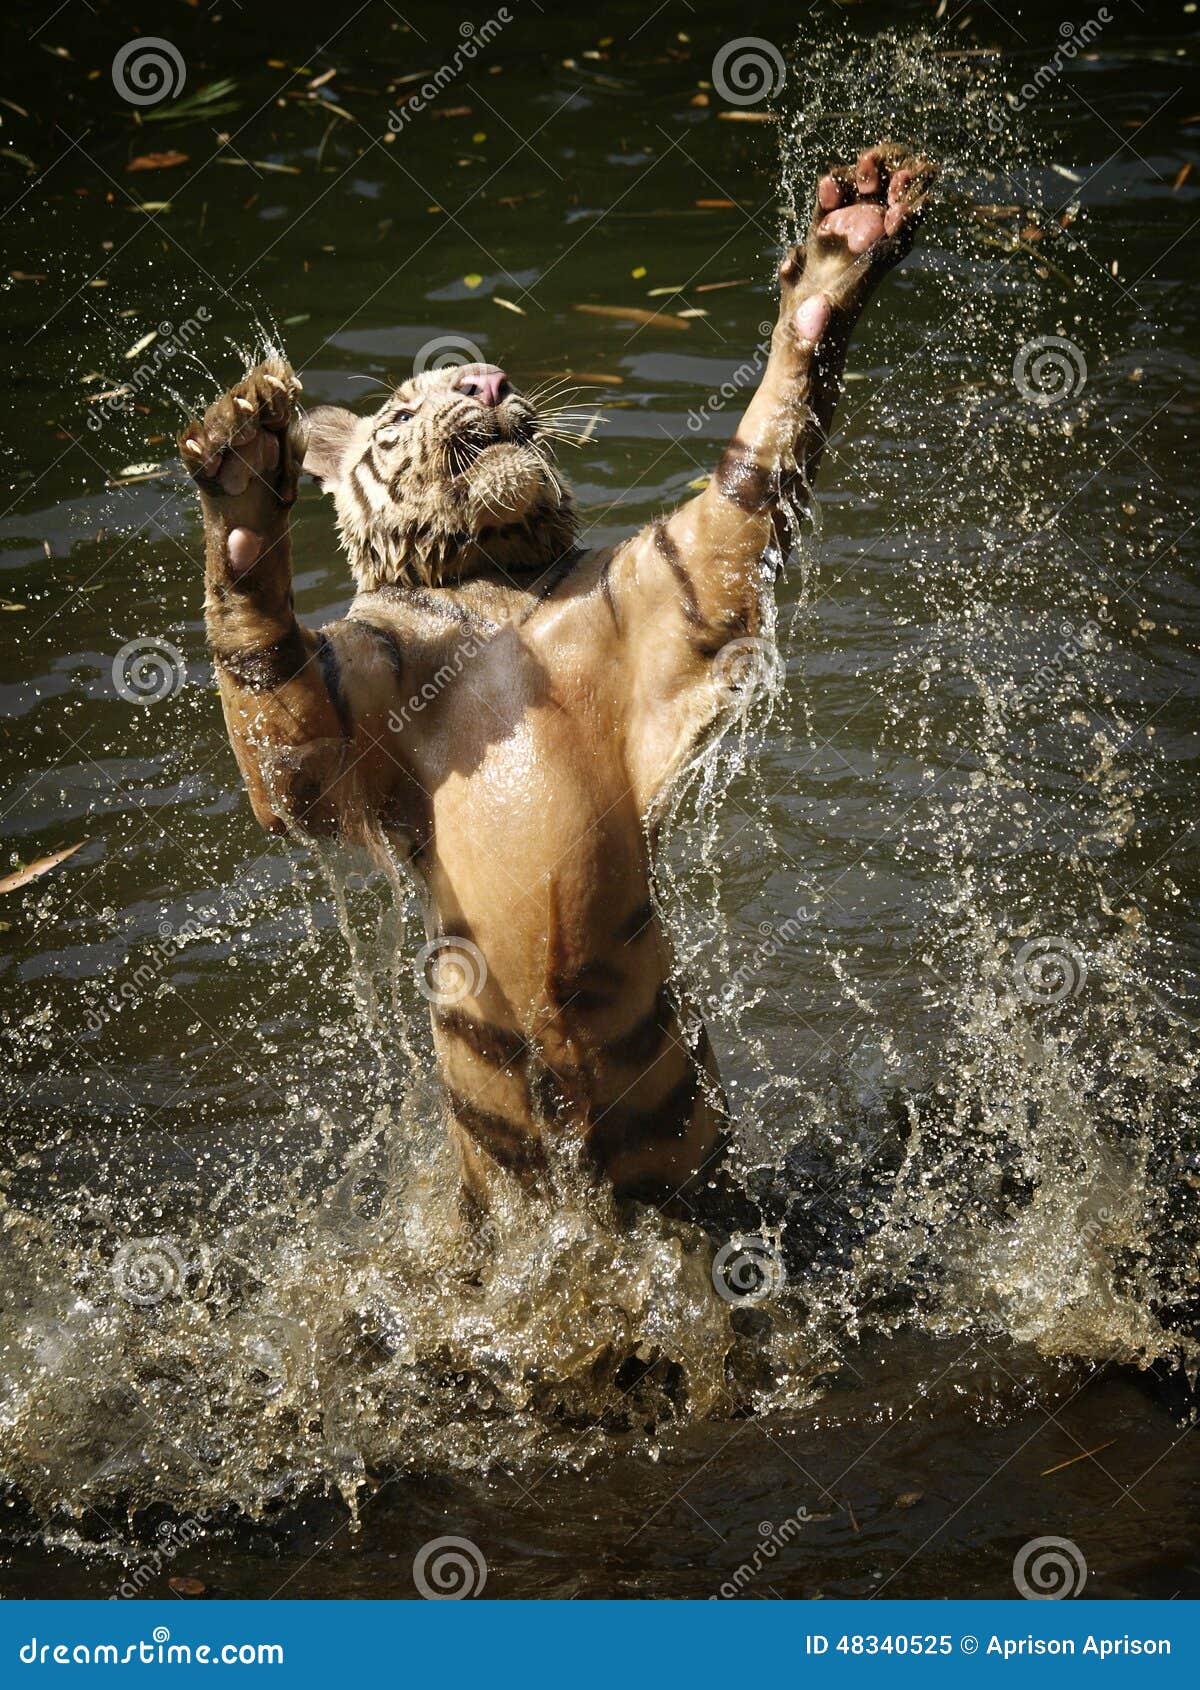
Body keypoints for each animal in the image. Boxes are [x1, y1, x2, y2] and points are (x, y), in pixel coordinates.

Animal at [179, 145, 936, 1223]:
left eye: (488, 372)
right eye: (401, 410)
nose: (487, 378)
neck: (490, 582)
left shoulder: (682, 586)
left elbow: (753, 467)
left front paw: (846, 247)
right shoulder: (335, 737)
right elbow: (273, 693)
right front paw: (243, 476)